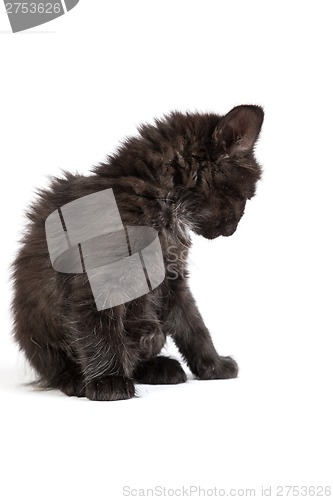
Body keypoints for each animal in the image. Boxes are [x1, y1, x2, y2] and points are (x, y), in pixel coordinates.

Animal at [11, 103, 264, 400]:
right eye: (245, 197)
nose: (233, 229)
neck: (162, 204)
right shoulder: (94, 281)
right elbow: (100, 332)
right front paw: (108, 382)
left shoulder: (172, 279)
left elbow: (194, 325)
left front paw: (213, 364)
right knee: (55, 365)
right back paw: (76, 379)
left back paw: (159, 367)